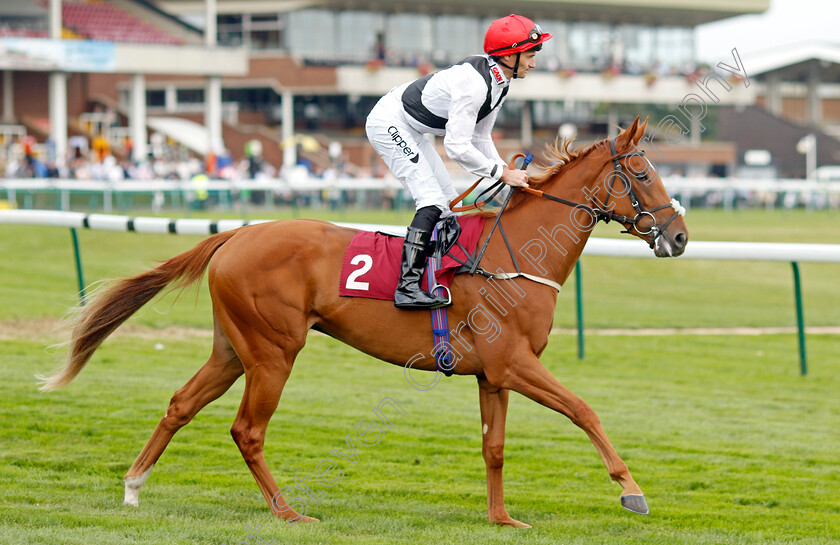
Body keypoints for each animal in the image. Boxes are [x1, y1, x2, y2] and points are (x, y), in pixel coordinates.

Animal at [39, 118, 684, 528]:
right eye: (642, 174)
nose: (678, 236)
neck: (514, 254)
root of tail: (236, 235)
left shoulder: (493, 374)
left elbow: (494, 447)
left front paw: (502, 518)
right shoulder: (515, 363)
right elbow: (584, 410)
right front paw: (631, 491)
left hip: (231, 349)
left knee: (180, 404)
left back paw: (133, 487)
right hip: (273, 352)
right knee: (248, 430)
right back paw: (287, 510)